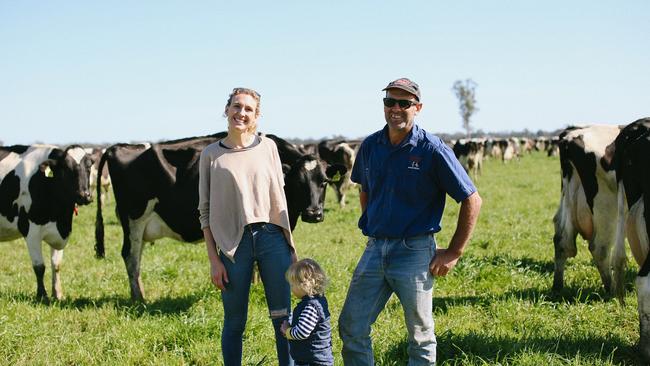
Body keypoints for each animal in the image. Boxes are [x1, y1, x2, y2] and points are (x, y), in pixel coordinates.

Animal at [0, 145, 93, 300]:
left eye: (89, 166)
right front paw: (42, 296)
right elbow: (39, 267)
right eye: (66, 168)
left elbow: (56, 265)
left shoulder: (58, 232)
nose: (84, 195)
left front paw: (58, 294)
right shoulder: (31, 232)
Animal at [95, 132, 344, 300]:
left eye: (324, 182)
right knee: (130, 256)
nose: (314, 213)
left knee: (135, 256)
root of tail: (118, 146)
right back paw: (139, 298)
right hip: (134, 217)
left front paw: (254, 285)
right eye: (299, 183)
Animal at [548, 124, 620, 294]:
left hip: (567, 199)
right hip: (607, 208)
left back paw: (557, 287)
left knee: (562, 241)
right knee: (599, 248)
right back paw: (612, 290)